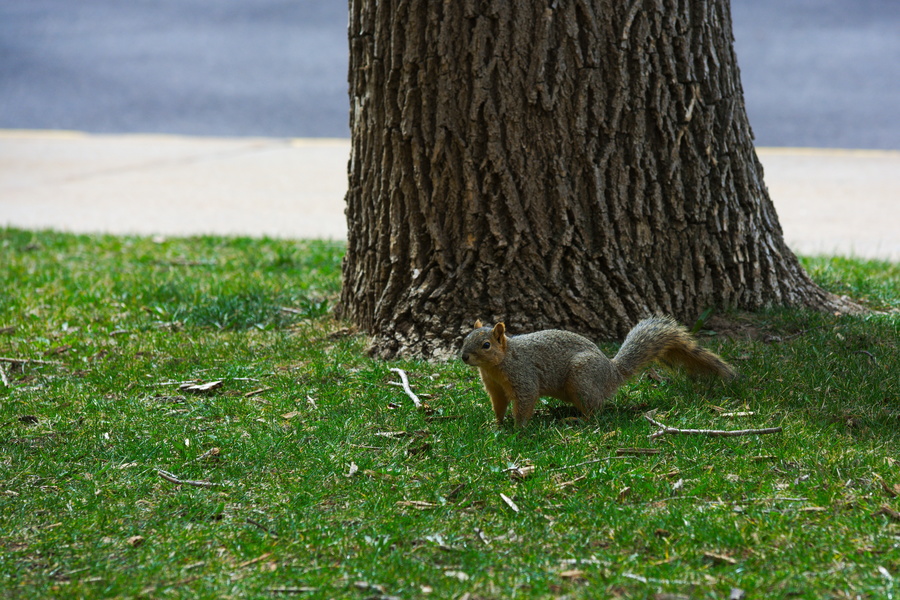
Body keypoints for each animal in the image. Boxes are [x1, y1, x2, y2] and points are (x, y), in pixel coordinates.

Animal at [460, 316, 736, 428]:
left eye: (486, 345)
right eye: (465, 338)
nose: (463, 356)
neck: (497, 365)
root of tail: (612, 372)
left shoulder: (523, 375)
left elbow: (526, 400)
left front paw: (519, 428)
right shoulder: (494, 387)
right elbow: (498, 404)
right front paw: (496, 423)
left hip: (582, 377)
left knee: (595, 410)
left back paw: (577, 420)